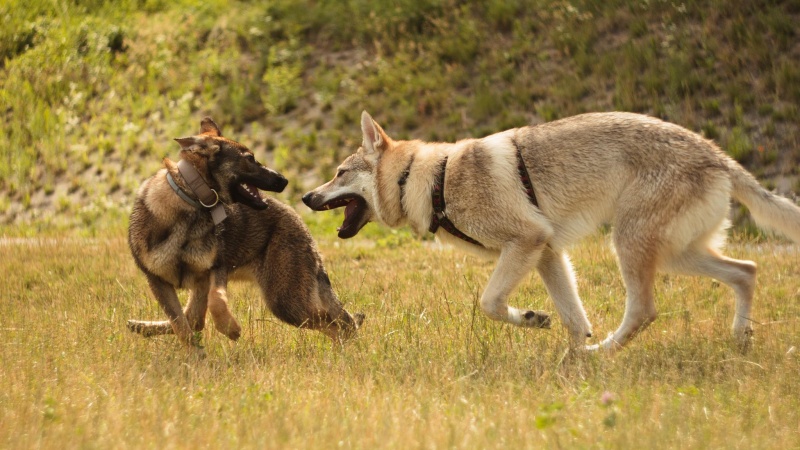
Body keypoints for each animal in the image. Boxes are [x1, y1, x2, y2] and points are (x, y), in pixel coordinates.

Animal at [127, 118, 362, 356]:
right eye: (249, 159)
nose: (284, 180)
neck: (190, 197)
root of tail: (297, 220)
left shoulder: (214, 269)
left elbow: (215, 301)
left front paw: (229, 328)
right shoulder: (159, 281)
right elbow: (181, 323)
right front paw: (196, 356)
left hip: (286, 301)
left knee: (340, 323)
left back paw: (342, 352)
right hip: (288, 300)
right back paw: (141, 326)